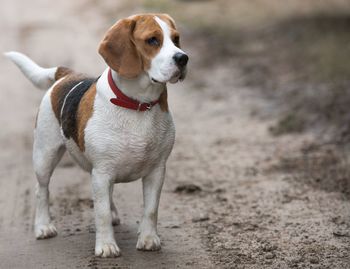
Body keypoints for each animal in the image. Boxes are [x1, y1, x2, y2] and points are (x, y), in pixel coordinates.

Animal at [4, 13, 189, 256]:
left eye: (176, 39)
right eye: (152, 40)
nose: (183, 58)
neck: (138, 104)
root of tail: (67, 74)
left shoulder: (156, 171)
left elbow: (150, 209)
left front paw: (149, 239)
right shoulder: (102, 172)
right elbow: (101, 214)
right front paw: (107, 245)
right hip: (45, 156)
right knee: (41, 190)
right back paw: (43, 226)